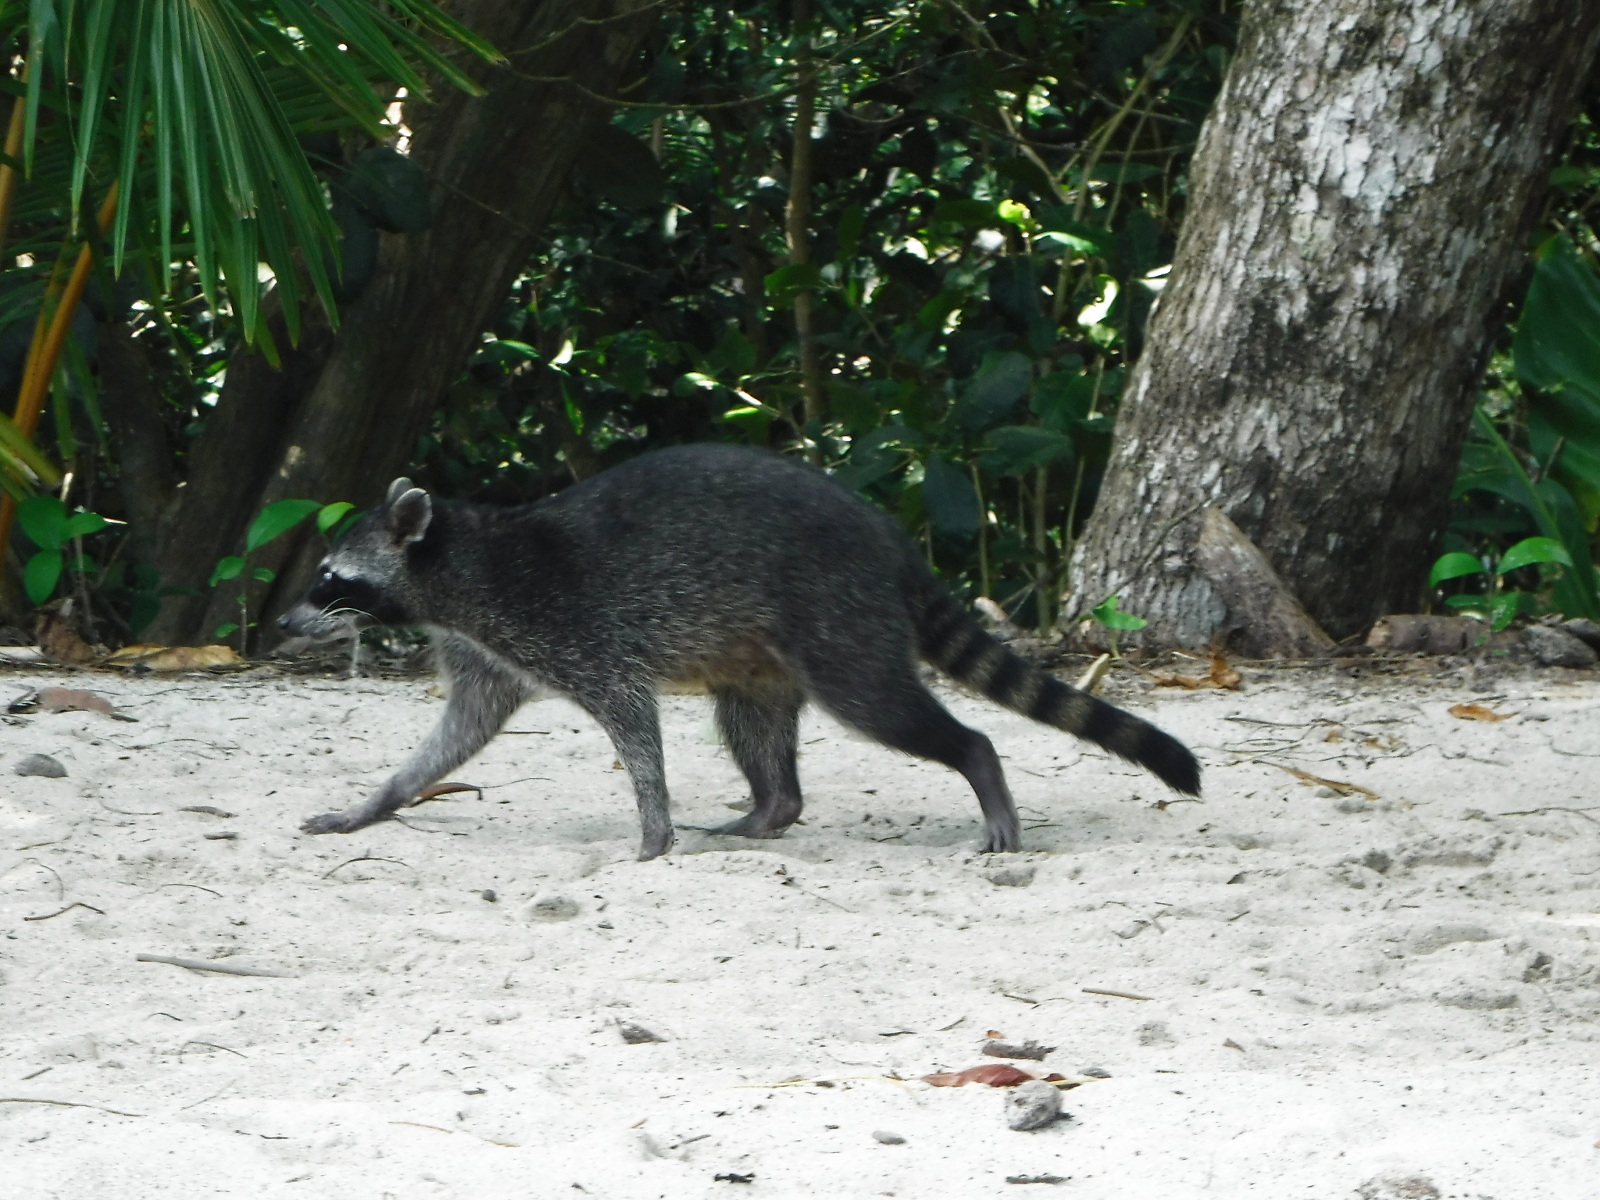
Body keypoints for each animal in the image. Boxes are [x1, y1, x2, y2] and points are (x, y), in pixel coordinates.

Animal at [281, 448, 1196, 857]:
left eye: (329, 577)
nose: (282, 624)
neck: (461, 558)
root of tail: (888, 539)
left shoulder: (574, 628)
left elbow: (634, 728)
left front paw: (651, 832)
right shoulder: (489, 655)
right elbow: (455, 736)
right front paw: (379, 799)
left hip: (838, 617)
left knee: (888, 708)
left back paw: (979, 767)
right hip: (759, 655)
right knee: (751, 727)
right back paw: (767, 809)